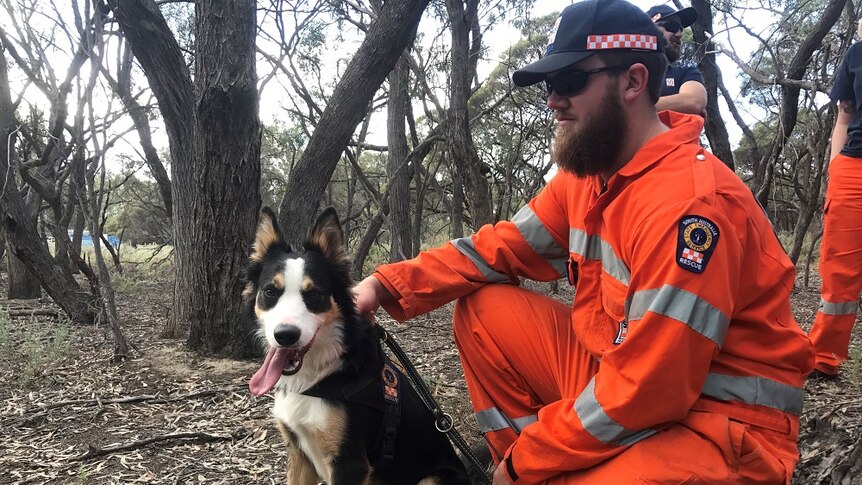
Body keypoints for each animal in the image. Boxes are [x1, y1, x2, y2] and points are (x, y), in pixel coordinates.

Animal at [243, 208, 472, 484]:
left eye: (315, 294)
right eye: (270, 292)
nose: (285, 335)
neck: (318, 375)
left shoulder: (349, 462)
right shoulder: (299, 455)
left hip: (432, 478)